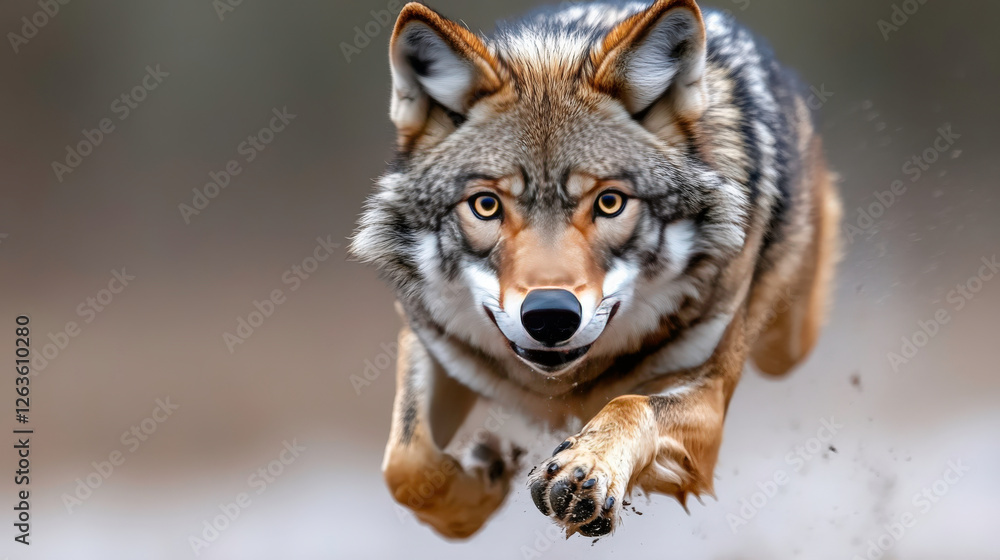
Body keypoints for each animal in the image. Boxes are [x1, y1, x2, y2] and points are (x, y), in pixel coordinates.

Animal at [351, 0, 841, 539]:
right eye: (485, 205)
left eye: (609, 202)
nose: (549, 317)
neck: (564, 387)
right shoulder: (433, 343)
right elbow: (405, 464)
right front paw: (485, 483)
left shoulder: (709, 393)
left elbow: (630, 405)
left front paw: (587, 469)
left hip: (785, 344)